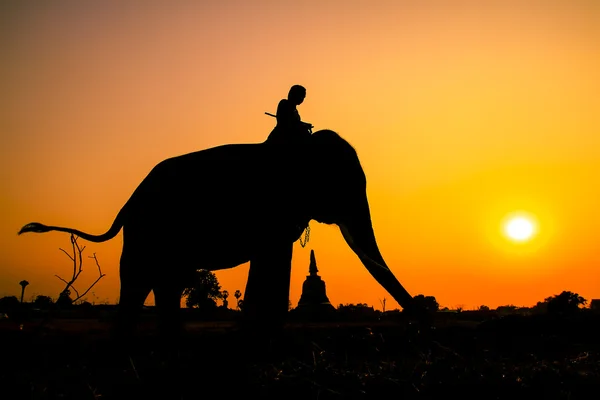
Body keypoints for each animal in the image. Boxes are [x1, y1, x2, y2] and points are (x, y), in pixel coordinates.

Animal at [19, 130, 422, 336]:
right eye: (343, 183)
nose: (420, 315)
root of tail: (127, 204)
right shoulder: (271, 208)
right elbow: (269, 256)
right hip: (147, 230)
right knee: (138, 279)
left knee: (164, 281)